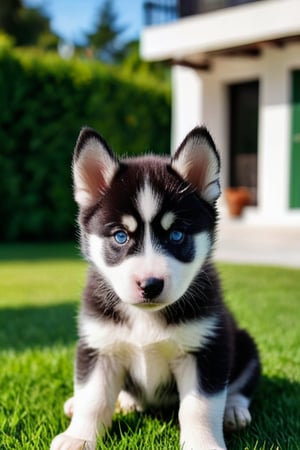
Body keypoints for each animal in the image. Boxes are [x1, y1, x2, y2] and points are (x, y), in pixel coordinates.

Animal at [51, 126, 260, 450]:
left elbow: (199, 408)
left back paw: (234, 410)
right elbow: (93, 398)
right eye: (120, 236)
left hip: (244, 343)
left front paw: (203, 443)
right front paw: (78, 437)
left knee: (240, 386)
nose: (150, 285)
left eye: (176, 235)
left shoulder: (206, 349)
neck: (145, 318)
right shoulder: (98, 345)